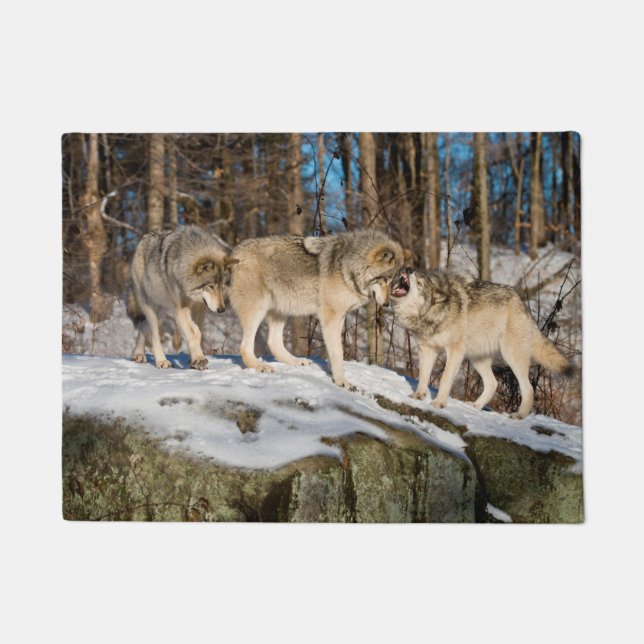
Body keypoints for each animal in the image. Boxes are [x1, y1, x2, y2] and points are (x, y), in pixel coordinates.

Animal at [127, 225, 238, 369]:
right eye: (211, 286)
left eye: (223, 286)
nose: (221, 310)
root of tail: (144, 238)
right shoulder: (181, 310)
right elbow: (193, 333)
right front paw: (199, 359)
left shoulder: (200, 308)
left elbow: (198, 332)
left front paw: (193, 360)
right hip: (150, 307)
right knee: (154, 335)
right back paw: (161, 361)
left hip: (161, 310)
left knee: (143, 327)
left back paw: (138, 354)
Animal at [228, 230, 412, 388]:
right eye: (385, 280)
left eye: (394, 282)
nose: (387, 304)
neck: (347, 268)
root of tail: (233, 253)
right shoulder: (331, 316)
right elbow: (338, 352)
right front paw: (341, 381)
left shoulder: (340, 317)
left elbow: (333, 351)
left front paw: (333, 374)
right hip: (257, 310)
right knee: (245, 347)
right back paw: (259, 366)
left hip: (281, 311)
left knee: (273, 343)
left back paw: (296, 361)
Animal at [390, 267, 574, 418]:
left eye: (419, 283)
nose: (408, 268)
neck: (432, 313)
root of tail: (521, 303)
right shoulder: (427, 349)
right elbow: (423, 376)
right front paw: (418, 396)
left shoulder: (455, 351)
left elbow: (445, 379)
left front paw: (438, 403)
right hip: (477, 359)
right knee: (493, 383)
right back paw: (476, 406)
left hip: (511, 356)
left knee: (527, 388)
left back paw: (519, 415)